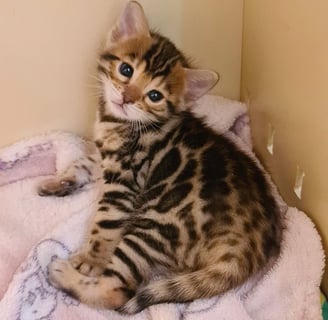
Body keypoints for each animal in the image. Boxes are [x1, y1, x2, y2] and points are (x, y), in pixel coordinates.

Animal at [40, 0, 282, 316]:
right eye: (126, 69)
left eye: (154, 95)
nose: (126, 98)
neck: (122, 122)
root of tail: (250, 248)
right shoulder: (106, 156)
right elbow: (84, 163)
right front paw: (60, 181)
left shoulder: (124, 185)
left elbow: (105, 224)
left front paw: (90, 260)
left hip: (156, 226)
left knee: (117, 291)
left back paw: (64, 274)